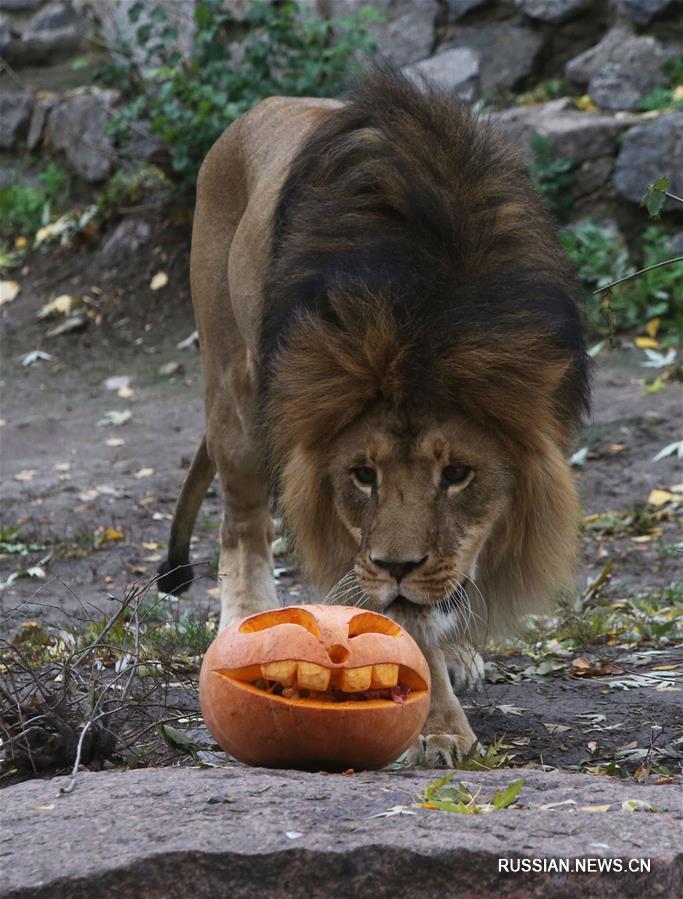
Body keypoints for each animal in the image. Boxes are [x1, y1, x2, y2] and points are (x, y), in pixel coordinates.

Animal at [158, 74, 592, 768]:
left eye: (458, 474)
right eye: (364, 476)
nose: (397, 567)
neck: (427, 314)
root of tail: (259, 110)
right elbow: (399, 620)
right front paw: (437, 728)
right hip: (233, 388)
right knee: (243, 526)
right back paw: (246, 623)